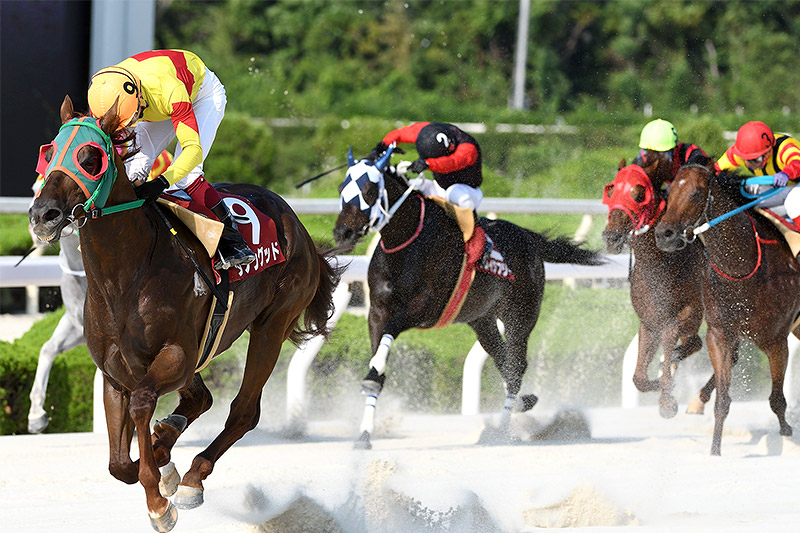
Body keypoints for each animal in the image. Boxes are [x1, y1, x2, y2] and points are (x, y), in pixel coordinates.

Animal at [28, 95, 341, 531]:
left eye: (90, 158)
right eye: (48, 153)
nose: (44, 215)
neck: (124, 275)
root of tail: (298, 226)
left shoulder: (176, 355)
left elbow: (143, 405)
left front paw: (159, 501)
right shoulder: (115, 374)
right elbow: (118, 463)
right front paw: (159, 462)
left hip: (271, 325)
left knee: (244, 411)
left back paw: (193, 476)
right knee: (199, 400)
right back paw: (169, 443)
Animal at [332, 147, 604, 449]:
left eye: (369, 190)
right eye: (342, 188)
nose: (342, 232)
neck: (407, 245)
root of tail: (530, 237)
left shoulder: (425, 308)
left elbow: (391, 333)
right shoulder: (377, 311)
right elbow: (378, 363)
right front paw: (364, 435)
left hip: (520, 315)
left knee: (515, 367)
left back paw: (502, 431)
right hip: (482, 320)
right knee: (503, 361)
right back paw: (523, 403)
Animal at [601, 161, 709, 418]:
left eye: (639, 194)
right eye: (612, 190)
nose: (611, 237)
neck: (661, 265)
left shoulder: (690, 312)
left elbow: (671, 337)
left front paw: (667, 399)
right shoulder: (649, 321)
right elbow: (638, 378)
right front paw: (663, 383)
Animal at [654, 163, 800, 455]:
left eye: (697, 193)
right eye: (670, 190)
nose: (664, 234)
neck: (742, 267)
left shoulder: (777, 342)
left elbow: (777, 399)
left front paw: (787, 433)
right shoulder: (720, 334)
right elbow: (723, 399)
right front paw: (715, 450)